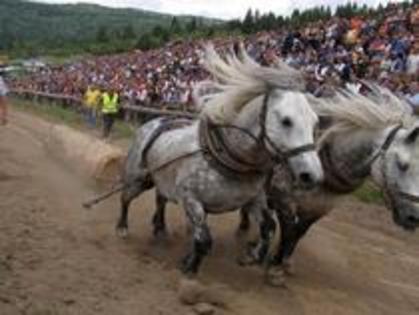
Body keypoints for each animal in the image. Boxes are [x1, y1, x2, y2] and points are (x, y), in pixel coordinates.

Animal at [118, 45, 324, 276]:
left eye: (315, 122)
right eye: (286, 121)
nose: (312, 175)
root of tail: (154, 122)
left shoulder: (253, 199)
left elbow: (268, 227)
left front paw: (251, 255)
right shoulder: (191, 200)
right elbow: (204, 241)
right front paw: (189, 267)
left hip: (160, 179)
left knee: (160, 200)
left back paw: (160, 229)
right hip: (138, 179)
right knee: (125, 198)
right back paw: (122, 227)